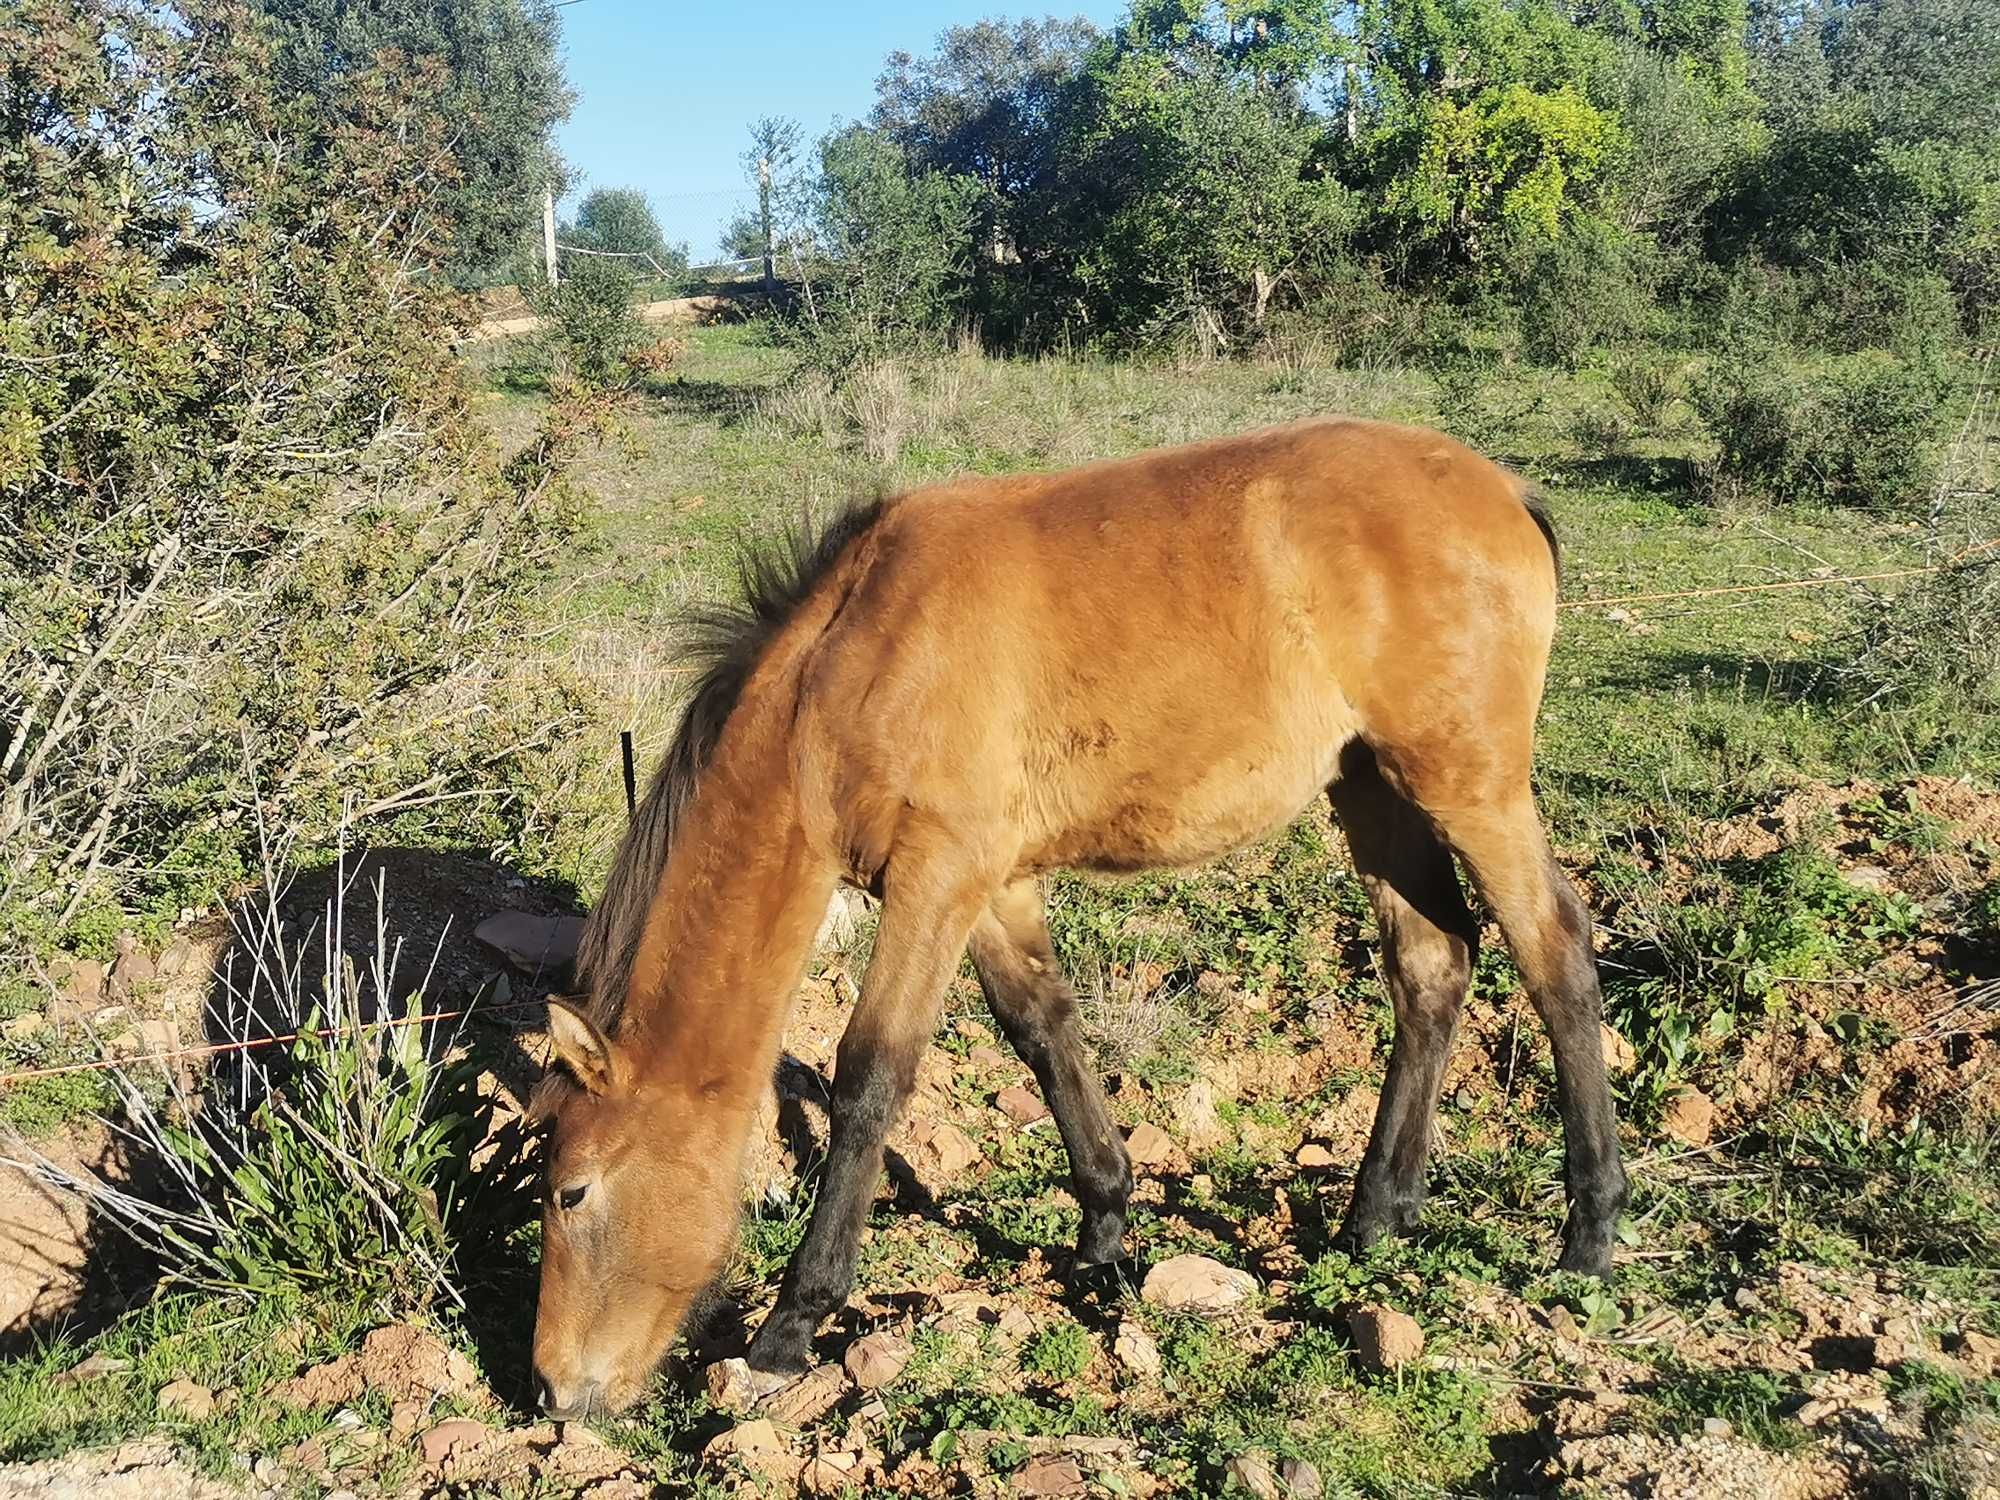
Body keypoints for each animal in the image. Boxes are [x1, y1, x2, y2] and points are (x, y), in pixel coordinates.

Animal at [532, 414, 1624, 1424]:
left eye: (570, 1191)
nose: (551, 1391)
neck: (847, 669)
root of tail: (1502, 491)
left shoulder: (937, 879)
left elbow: (871, 1078)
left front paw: (788, 1329)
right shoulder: (988, 885)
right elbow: (1043, 1034)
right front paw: (1103, 1231)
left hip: (1468, 786)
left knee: (1555, 952)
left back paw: (1589, 1230)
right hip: (1371, 787)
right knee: (1433, 963)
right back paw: (1374, 1218)